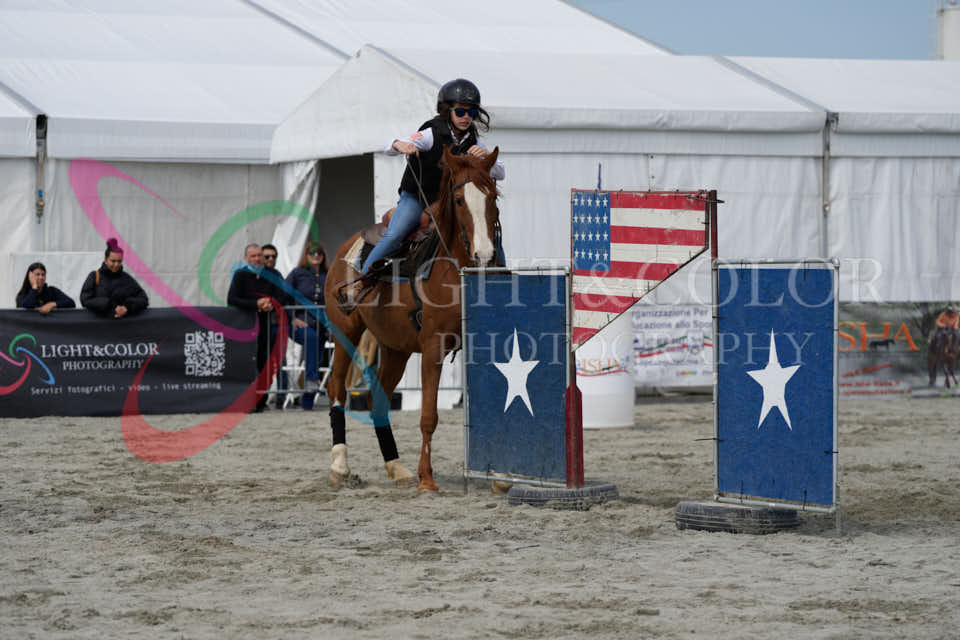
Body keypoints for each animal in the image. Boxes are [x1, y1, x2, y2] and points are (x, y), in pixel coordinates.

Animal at [323, 147, 501, 492]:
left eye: (493, 196)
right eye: (459, 200)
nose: (484, 256)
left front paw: (500, 479)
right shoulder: (433, 348)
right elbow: (429, 415)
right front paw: (427, 479)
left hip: (395, 348)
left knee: (378, 400)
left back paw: (396, 467)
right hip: (345, 332)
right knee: (336, 389)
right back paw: (340, 466)